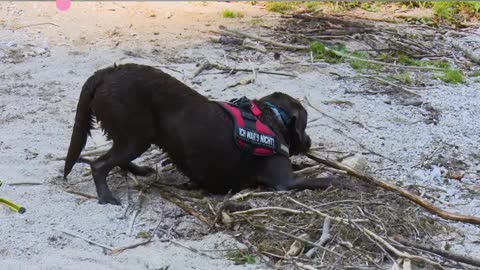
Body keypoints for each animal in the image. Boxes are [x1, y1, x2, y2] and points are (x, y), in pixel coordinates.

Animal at [64, 63, 352, 204]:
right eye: (306, 124)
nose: (309, 141)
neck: (270, 117)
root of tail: (107, 73)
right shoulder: (286, 182)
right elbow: (322, 179)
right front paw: (342, 181)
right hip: (136, 136)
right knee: (99, 164)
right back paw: (106, 197)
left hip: (133, 137)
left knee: (115, 159)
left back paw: (138, 171)